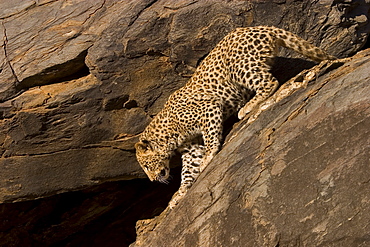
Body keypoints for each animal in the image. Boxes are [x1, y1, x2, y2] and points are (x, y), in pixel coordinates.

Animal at [135, 25, 336, 208]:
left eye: (147, 166)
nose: (153, 180)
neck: (168, 136)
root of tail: (260, 27)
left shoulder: (209, 109)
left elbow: (210, 139)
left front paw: (208, 157)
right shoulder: (190, 147)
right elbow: (188, 170)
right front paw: (179, 193)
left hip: (238, 67)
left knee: (270, 82)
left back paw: (247, 107)